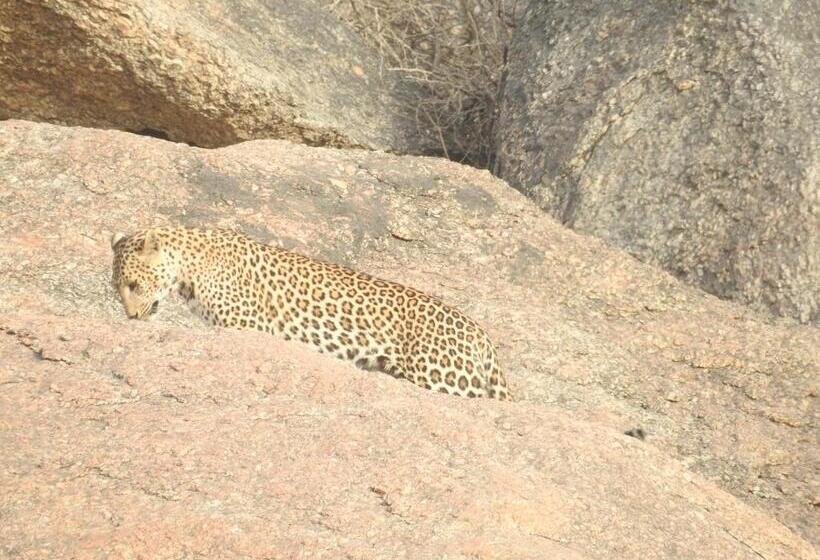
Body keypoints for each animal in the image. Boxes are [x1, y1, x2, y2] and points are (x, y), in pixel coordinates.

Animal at [110, 226, 512, 400]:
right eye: (117, 288)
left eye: (133, 284)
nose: (131, 317)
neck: (188, 266)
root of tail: (483, 336)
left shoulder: (247, 325)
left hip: (442, 378)